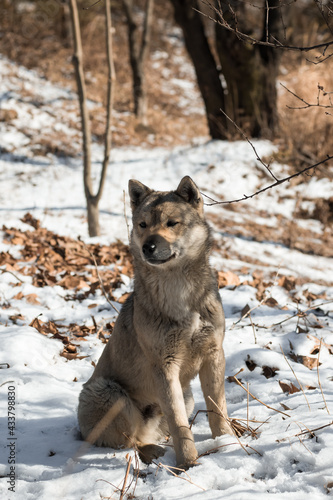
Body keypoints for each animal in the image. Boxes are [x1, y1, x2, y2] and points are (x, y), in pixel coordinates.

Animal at [78, 176, 232, 468]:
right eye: (143, 225)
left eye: (172, 223)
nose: (148, 246)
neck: (178, 290)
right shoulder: (164, 365)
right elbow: (178, 422)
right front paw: (188, 463)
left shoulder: (213, 353)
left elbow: (217, 408)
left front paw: (226, 442)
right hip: (108, 392)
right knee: (130, 441)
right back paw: (152, 452)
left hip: (187, 395)